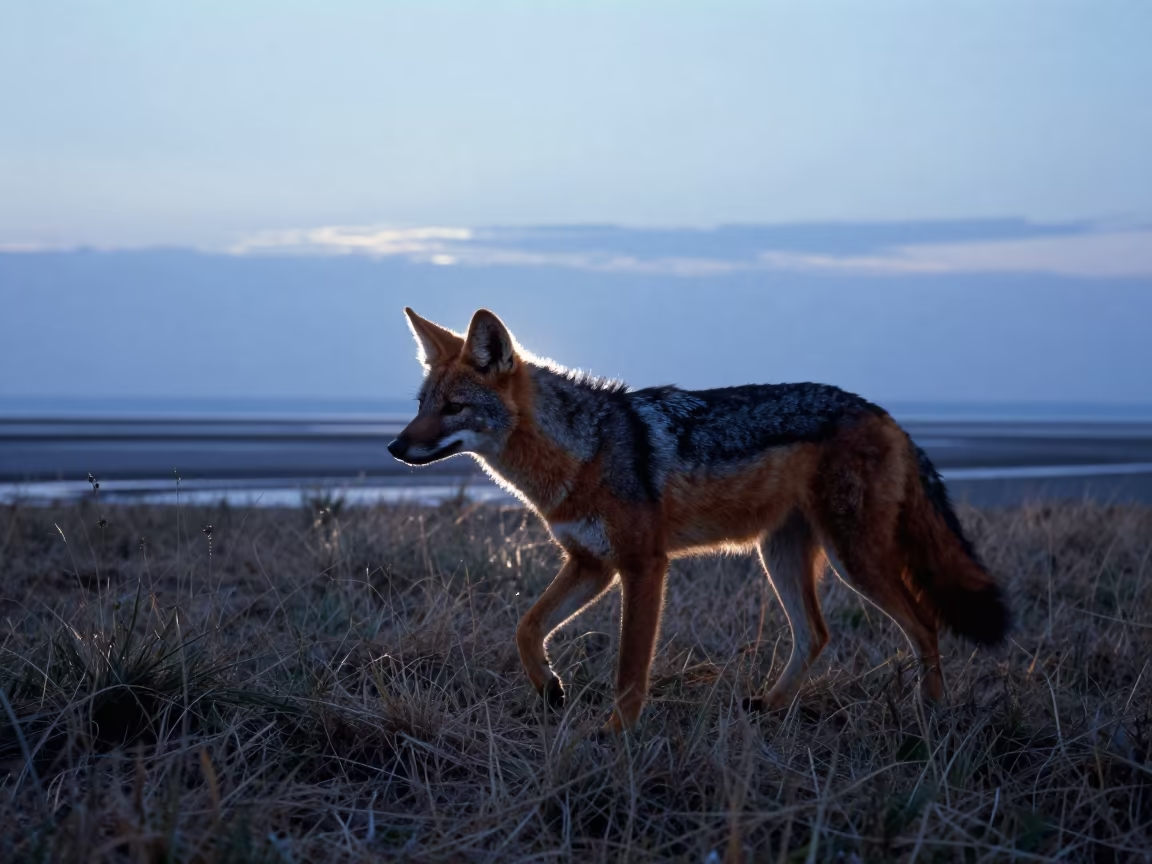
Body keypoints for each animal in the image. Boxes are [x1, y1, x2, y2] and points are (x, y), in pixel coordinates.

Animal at [388, 308, 1009, 731]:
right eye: (420, 405)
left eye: (454, 408)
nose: (394, 447)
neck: (581, 454)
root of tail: (883, 413)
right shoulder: (591, 564)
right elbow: (526, 627)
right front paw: (550, 690)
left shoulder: (643, 566)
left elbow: (629, 671)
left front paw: (614, 737)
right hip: (781, 558)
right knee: (817, 634)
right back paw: (769, 708)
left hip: (854, 562)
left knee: (924, 626)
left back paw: (929, 718)